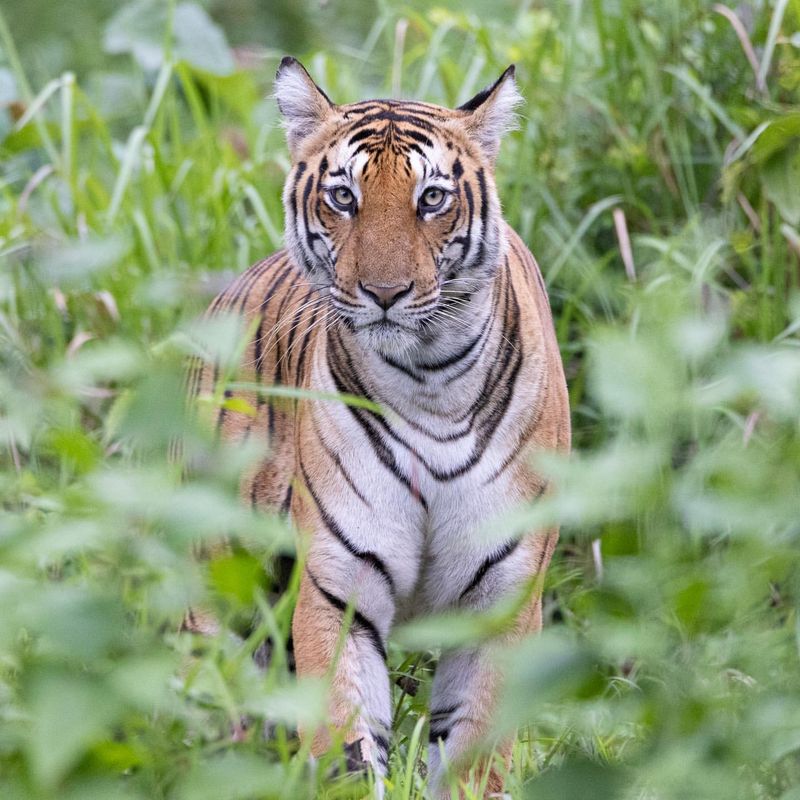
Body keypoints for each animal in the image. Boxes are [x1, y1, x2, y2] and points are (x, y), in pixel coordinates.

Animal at [189, 57, 568, 800]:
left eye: (431, 198)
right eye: (343, 197)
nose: (385, 293)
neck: (431, 380)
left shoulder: (502, 599)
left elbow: (474, 756)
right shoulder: (338, 591)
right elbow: (346, 742)